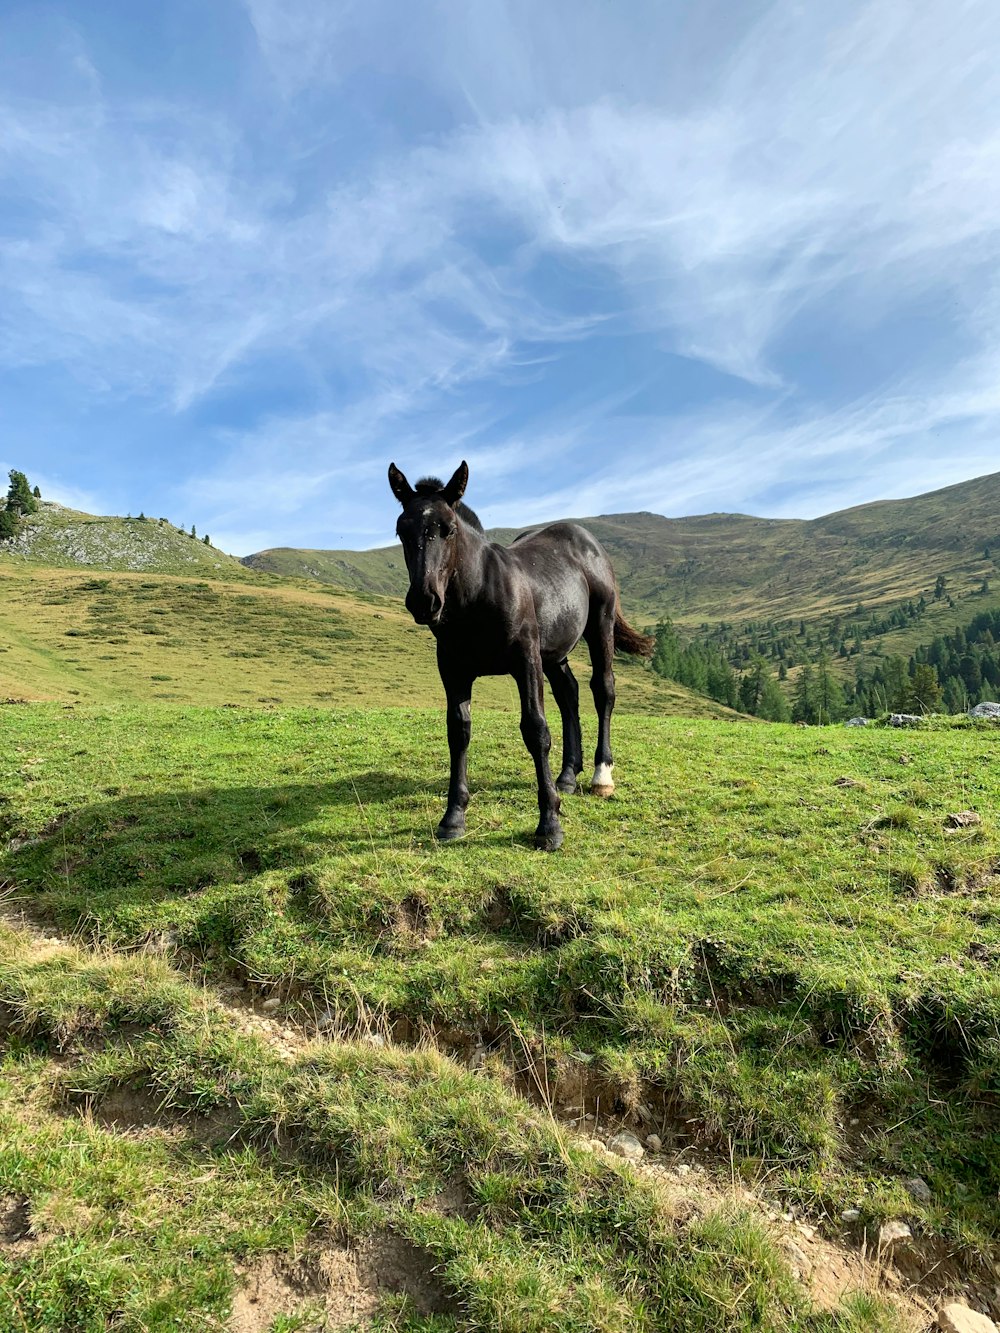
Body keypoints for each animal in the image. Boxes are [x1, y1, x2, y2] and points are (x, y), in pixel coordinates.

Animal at [386, 463, 653, 847]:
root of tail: (587, 540)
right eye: (401, 530)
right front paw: (453, 817)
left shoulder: (526, 662)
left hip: (599, 627)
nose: (424, 601)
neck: (477, 595)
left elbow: (536, 730)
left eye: (448, 529)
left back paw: (601, 776)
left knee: (603, 689)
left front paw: (549, 826)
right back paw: (567, 775)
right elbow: (458, 731)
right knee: (568, 693)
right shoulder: (453, 669)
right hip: (554, 652)